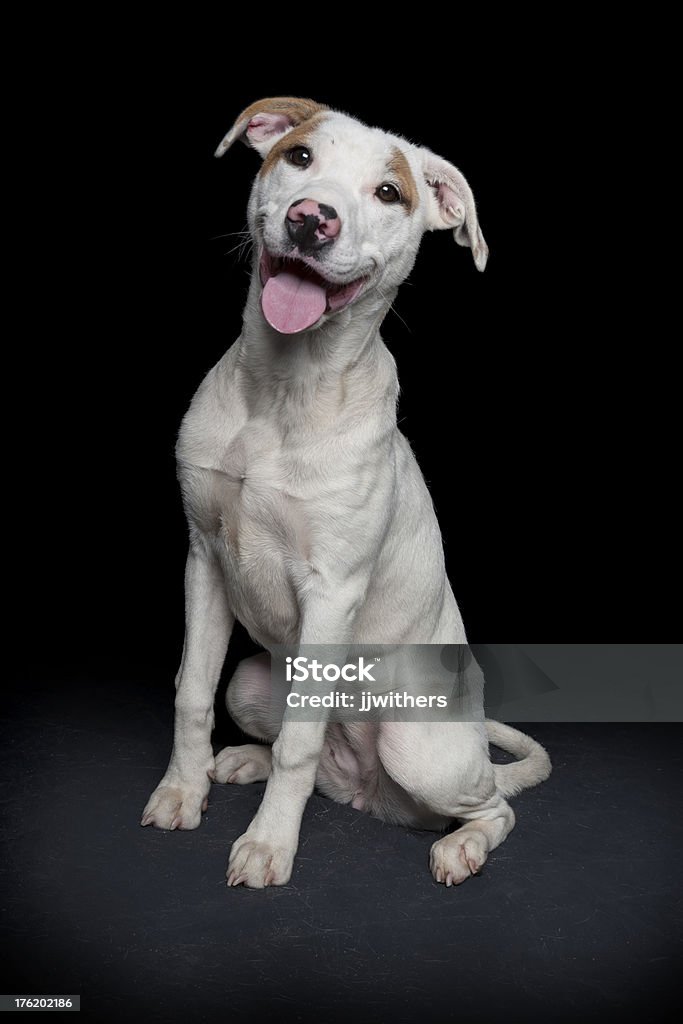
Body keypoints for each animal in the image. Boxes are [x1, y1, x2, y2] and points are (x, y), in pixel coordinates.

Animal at [139, 99, 548, 892]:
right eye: (299, 158)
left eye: (388, 193)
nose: (310, 220)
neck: (283, 389)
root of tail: (369, 792)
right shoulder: (203, 559)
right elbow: (190, 691)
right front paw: (182, 790)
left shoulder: (331, 589)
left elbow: (298, 743)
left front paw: (268, 845)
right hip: (252, 681)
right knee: (299, 753)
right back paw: (242, 761)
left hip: (421, 749)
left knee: (495, 807)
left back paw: (461, 846)